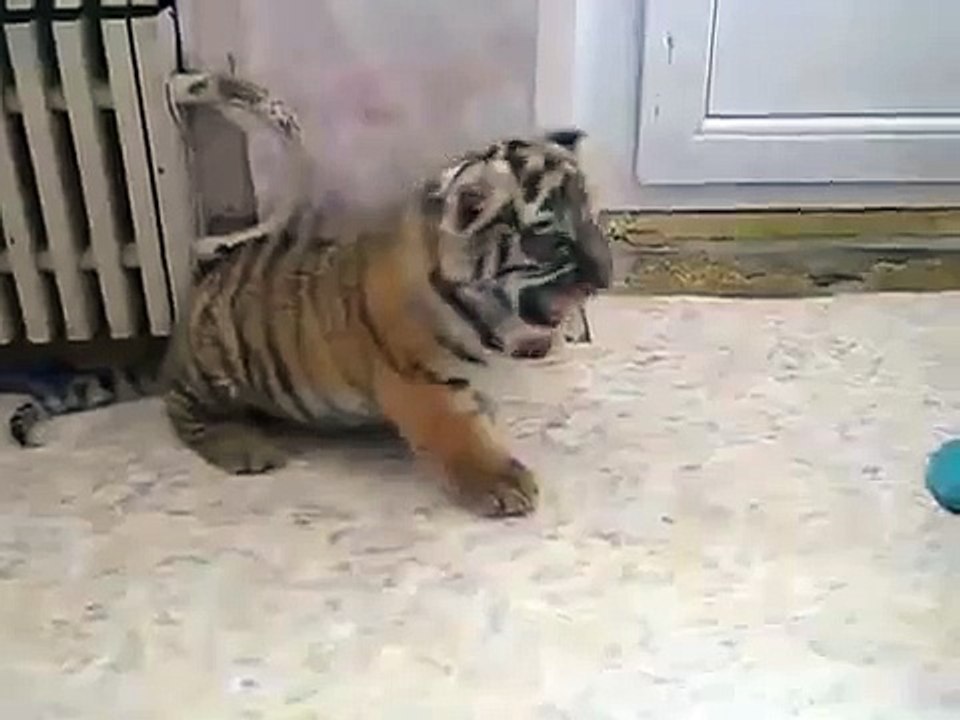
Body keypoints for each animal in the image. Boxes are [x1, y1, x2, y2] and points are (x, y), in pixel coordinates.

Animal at [161, 128, 612, 517]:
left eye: (593, 221)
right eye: (551, 241)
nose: (607, 277)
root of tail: (204, 282)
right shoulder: (422, 382)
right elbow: (461, 435)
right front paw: (502, 481)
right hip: (216, 366)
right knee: (184, 412)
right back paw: (244, 448)